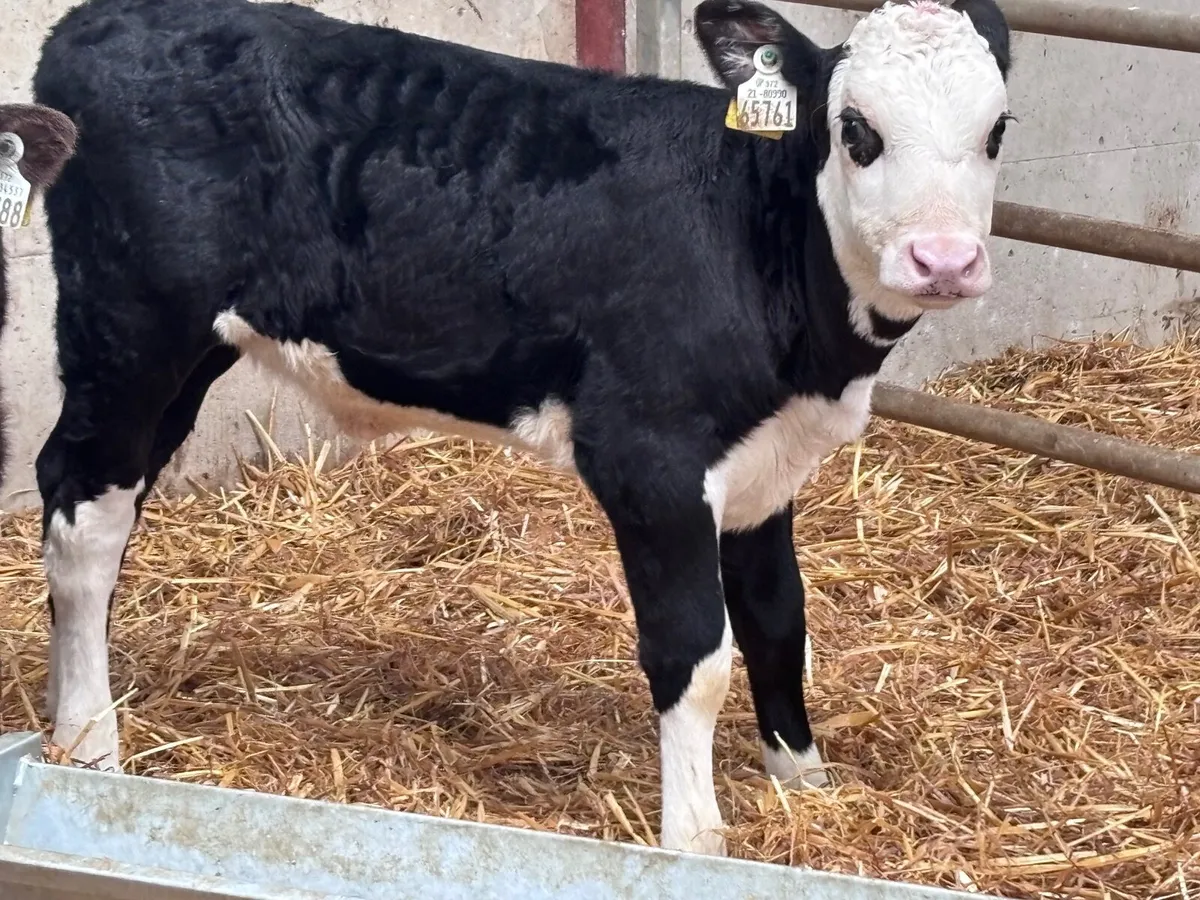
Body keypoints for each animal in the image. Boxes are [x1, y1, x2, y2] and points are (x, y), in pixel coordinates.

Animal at [33, 0, 1011, 855]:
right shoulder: (648, 457)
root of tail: (97, 20)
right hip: (130, 328)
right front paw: (696, 840)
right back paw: (88, 740)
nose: (944, 260)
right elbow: (694, 654)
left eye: (998, 129)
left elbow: (779, 620)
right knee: (86, 517)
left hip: (185, 353)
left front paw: (805, 786)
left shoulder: (767, 466)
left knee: (90, 493)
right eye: (856, 129)